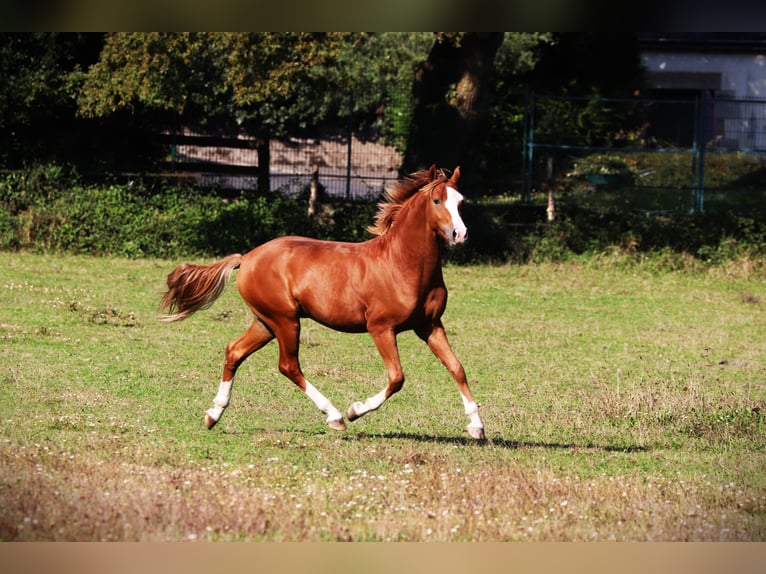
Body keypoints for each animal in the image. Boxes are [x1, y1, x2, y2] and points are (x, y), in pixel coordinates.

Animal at [159, 165, 486, 440]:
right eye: (436, 200)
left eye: (461, 202)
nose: (460, 234)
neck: (401, 264)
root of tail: (247, 257)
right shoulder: (381, 328)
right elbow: (397, 378)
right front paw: (356, 410)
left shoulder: (430, 325)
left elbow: (457, 368)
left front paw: (477, 427)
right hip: (285, 320)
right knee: (288, 365)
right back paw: (335, 416)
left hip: (265, 322)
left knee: (234, 352)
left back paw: (213, 415)